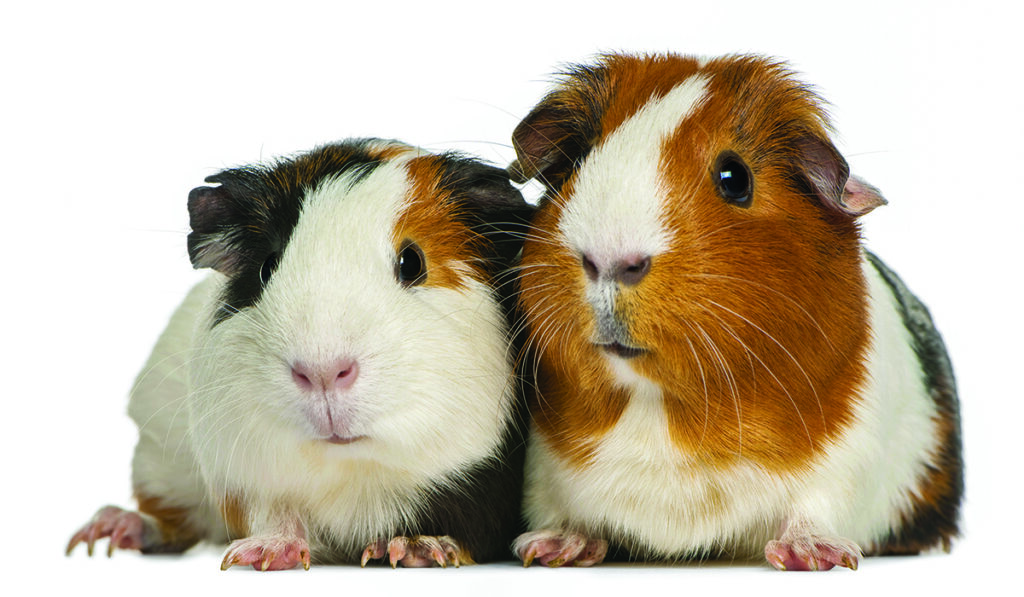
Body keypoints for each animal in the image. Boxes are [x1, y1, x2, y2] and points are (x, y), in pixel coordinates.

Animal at [66, 138, 534, 570]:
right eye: (267, 266)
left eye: (412, 262)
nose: (323, 371)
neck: (353, 474)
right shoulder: (247, 479)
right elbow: (275, 515)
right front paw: (262, 555)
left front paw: (417, 549)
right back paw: (106, 531)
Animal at [508, 53, 962, 571]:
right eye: (577, 162)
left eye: (735, 178)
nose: (608, 260)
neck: (658, 406)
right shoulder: (542, 469)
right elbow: (557, 508)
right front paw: (547, 548)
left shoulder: (849, 458)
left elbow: (817, 506)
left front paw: (813, 556)